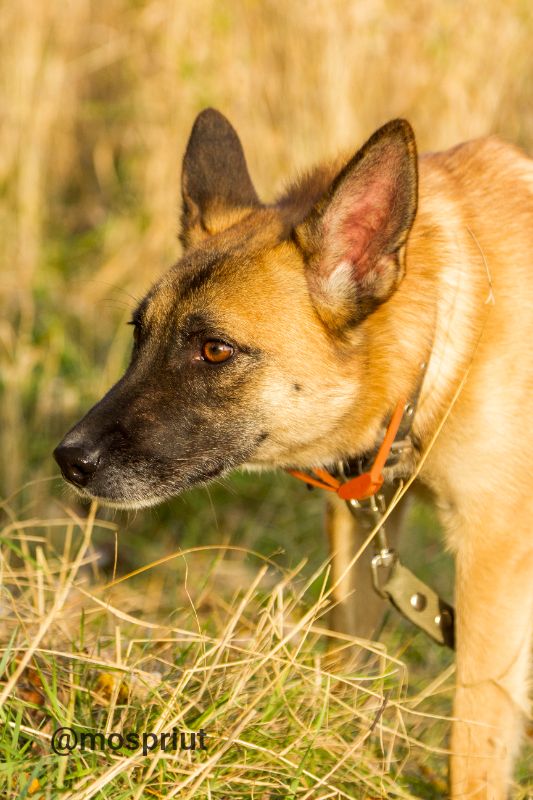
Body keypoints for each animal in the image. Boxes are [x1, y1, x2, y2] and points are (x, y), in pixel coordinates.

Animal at [54, 109, 532, 796]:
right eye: (138, 336)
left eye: (215, 350)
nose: (69, 460)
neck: (443, 340)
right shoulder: (362, 533)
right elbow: (348, 659)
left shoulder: (492, 563)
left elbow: (473, 746)